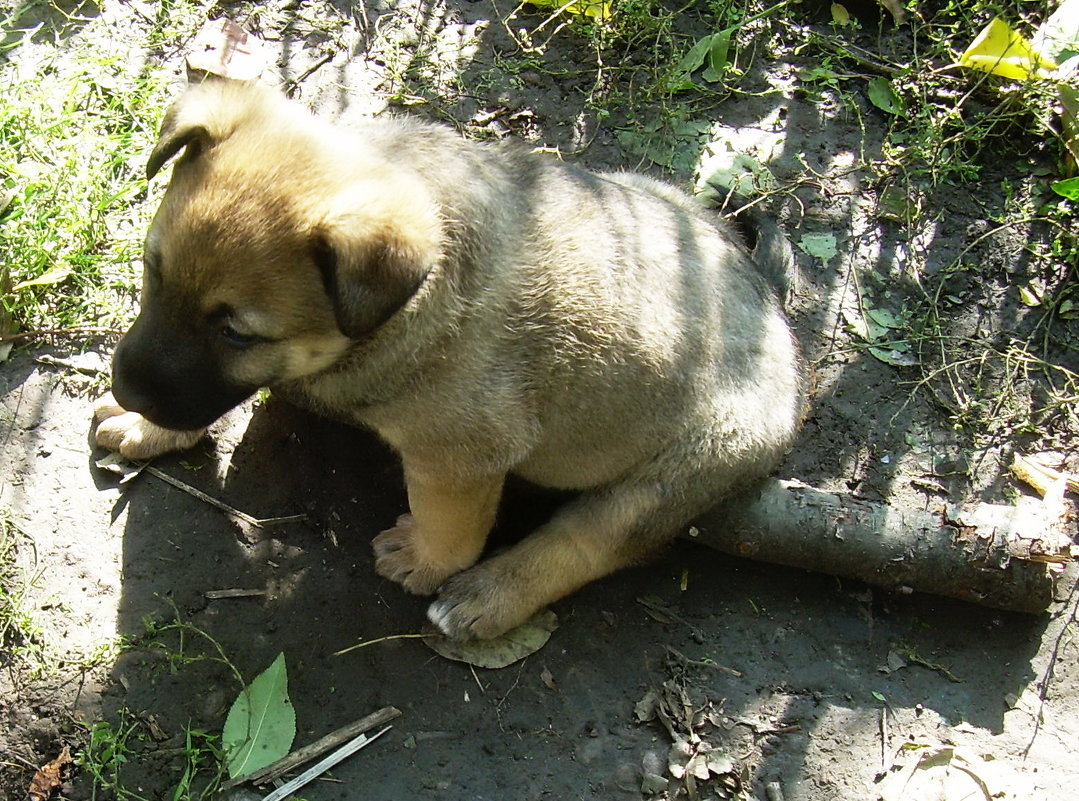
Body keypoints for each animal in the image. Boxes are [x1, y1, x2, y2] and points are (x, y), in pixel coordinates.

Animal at [97, 81, 807, 643]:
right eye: (152, 270)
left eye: (235, 333)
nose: (127, 389)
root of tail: (772, 311)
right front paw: (149, 428)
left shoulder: (459, 455)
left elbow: (451, 521)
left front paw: (428, 560)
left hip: (677, 471)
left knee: (590, 539)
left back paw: (487, 596)